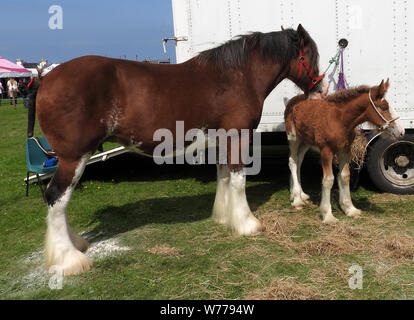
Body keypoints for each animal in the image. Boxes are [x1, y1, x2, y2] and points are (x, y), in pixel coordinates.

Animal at [30, 25, 324, 276]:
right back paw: (69, 259)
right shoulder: (238, 137)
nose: (320, 92)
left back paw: (76, 244)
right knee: (56, 197)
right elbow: (238, 181)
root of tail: (46, 78)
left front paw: (223, 217)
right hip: (73, 157)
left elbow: (224, 178)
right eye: (311, 55)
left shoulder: (221, 140)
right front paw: (247, 224)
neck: (238, 76)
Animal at [284, 80, 404, 224]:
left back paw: (300, 194)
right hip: (293, 137)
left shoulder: (345, 150)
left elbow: (345, 176)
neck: (339, 120)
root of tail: (293, 100)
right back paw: (297, 199)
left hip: (306, 141)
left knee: (299, 161)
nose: (401, 131)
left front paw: (350, 209)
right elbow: (328, 180)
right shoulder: (326, 151)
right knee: (292, 161)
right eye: (385, 107)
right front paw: (328, 215)